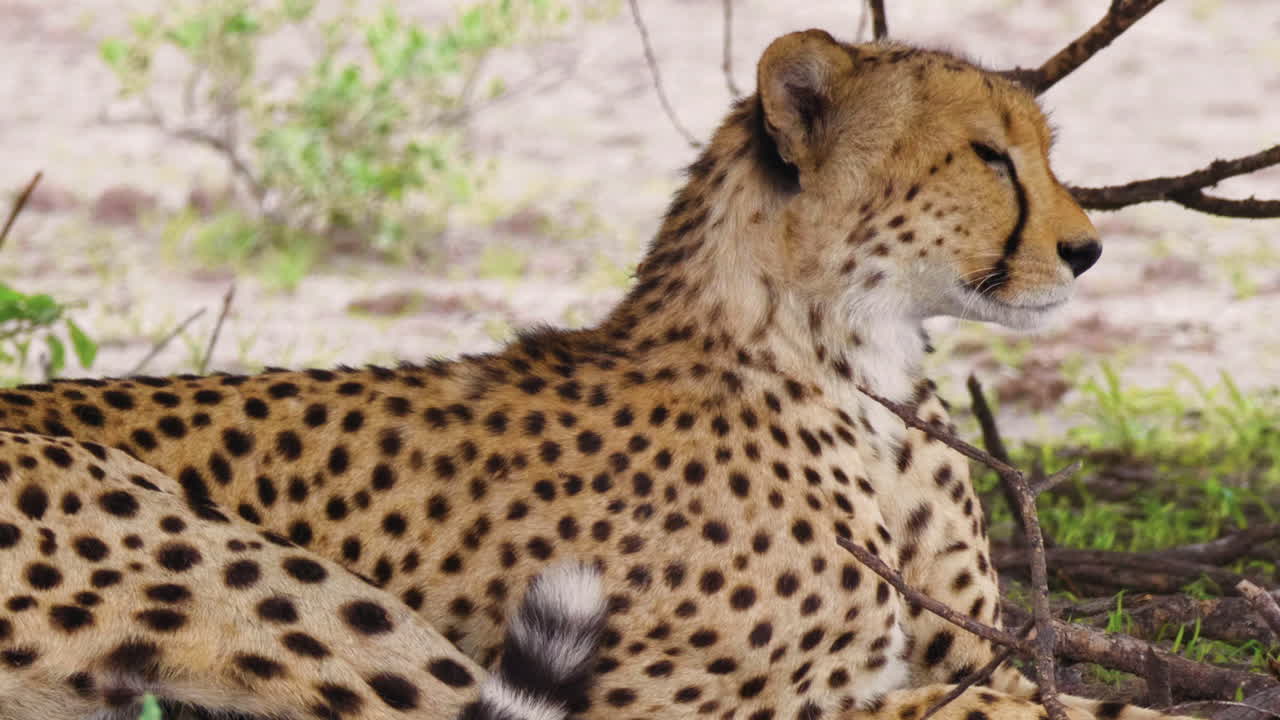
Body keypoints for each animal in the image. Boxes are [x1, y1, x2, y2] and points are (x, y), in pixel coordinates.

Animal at [0, 28, 1191, 720]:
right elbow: (1002, 710)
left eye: (1040, 147)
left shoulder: (983, 651)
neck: (861, 364)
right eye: (989, 155)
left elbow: (1061, 701)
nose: (1086, 249)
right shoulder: (675, 707)